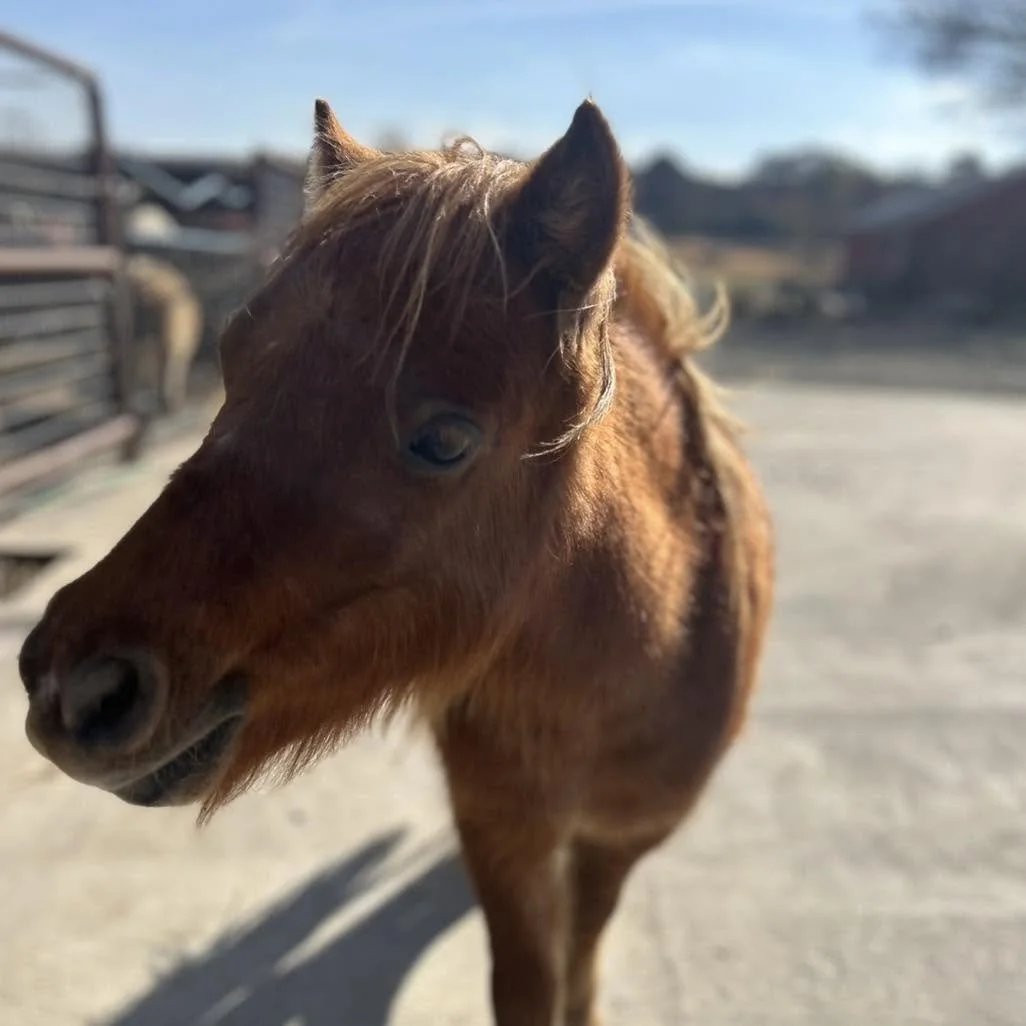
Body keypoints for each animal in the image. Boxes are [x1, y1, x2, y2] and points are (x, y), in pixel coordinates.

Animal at [18, 98, 775, 1026]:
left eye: (446, 439)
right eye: (232, 367)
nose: (74, 686)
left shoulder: (614, 849)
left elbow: (580, 969)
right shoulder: (503, 837)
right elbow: (529, 982)